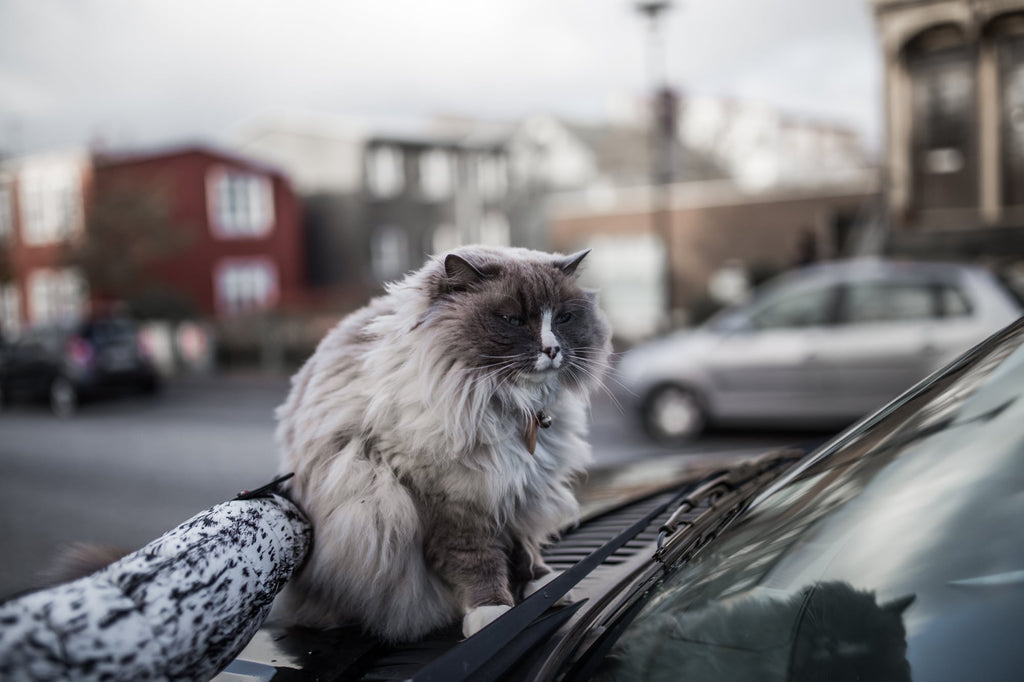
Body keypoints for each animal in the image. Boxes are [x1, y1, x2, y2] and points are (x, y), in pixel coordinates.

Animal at [268, 244, 610, 638]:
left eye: (564, 319)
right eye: (512, 320)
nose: (552, 349)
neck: (511, 407)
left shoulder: (519, 491)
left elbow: (525, 547)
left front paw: (544, 586)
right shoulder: (454, 503)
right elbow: (478, 562)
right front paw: (494, 613)